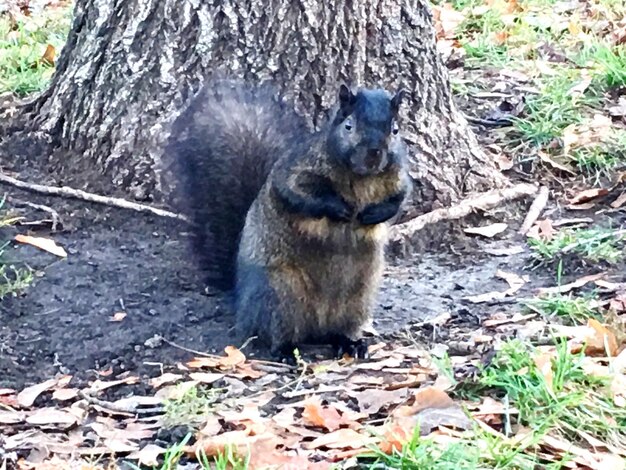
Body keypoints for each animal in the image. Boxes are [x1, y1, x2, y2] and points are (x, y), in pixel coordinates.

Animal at [167, 80, 410, 360]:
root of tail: (241, 301)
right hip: (281, 294)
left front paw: (372, 214)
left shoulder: (399, 177)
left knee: (338, 330)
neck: (362, 177)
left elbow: (398, 200)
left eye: (395, 130)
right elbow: (296, 195)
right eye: (348, 126)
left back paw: (350, 343)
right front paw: (338, 209)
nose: (374, 154)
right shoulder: (294, 171)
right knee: (275, 333)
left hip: (359, 297)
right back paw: (285, 351)